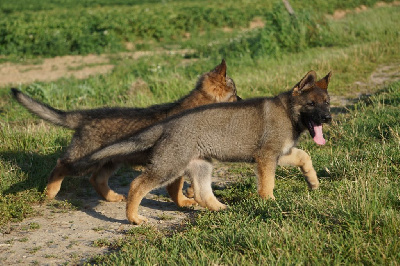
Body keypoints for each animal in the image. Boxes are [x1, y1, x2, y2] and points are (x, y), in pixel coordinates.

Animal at [11, 59, 241, 206]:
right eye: (235, 95)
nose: (243, 102)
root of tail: (85, 116)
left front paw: (190, 195)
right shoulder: (176, 160)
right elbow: (176, 187)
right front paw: (184, 201)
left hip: (110, 160)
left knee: (97, 179)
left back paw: (111, 197)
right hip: (85, 160)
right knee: (61, 166)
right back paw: (51, 192)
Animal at [83, 69, 330, 223]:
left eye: (327, 103)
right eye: (311, 104)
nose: (328, 117)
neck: (288, 112)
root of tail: (169, 123)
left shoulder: (281, 153)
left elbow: (305, 157)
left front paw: (313, 182)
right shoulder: (266, 156)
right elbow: (268, 184)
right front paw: (270, 203)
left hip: (200, 164)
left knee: (202, 194)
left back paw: (222, 208)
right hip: (170, 165)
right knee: (137, 184)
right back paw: (134, 218)